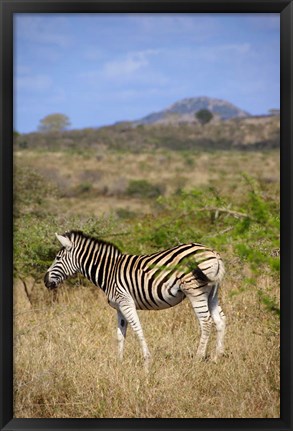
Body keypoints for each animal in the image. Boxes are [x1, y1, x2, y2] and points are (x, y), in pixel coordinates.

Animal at [44, 231, 226, 366]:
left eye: (58, 258)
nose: (45, 281)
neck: (109, 271)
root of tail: (212, 253)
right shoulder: (119, 306)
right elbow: (120, 334)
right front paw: (119, 362)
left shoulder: (125, 301)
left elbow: (138, 329)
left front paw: (146, 359)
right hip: (212, 292)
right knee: (220, 320)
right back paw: (217, 357)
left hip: (194, 290)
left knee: (206, 321)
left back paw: (198, 358)